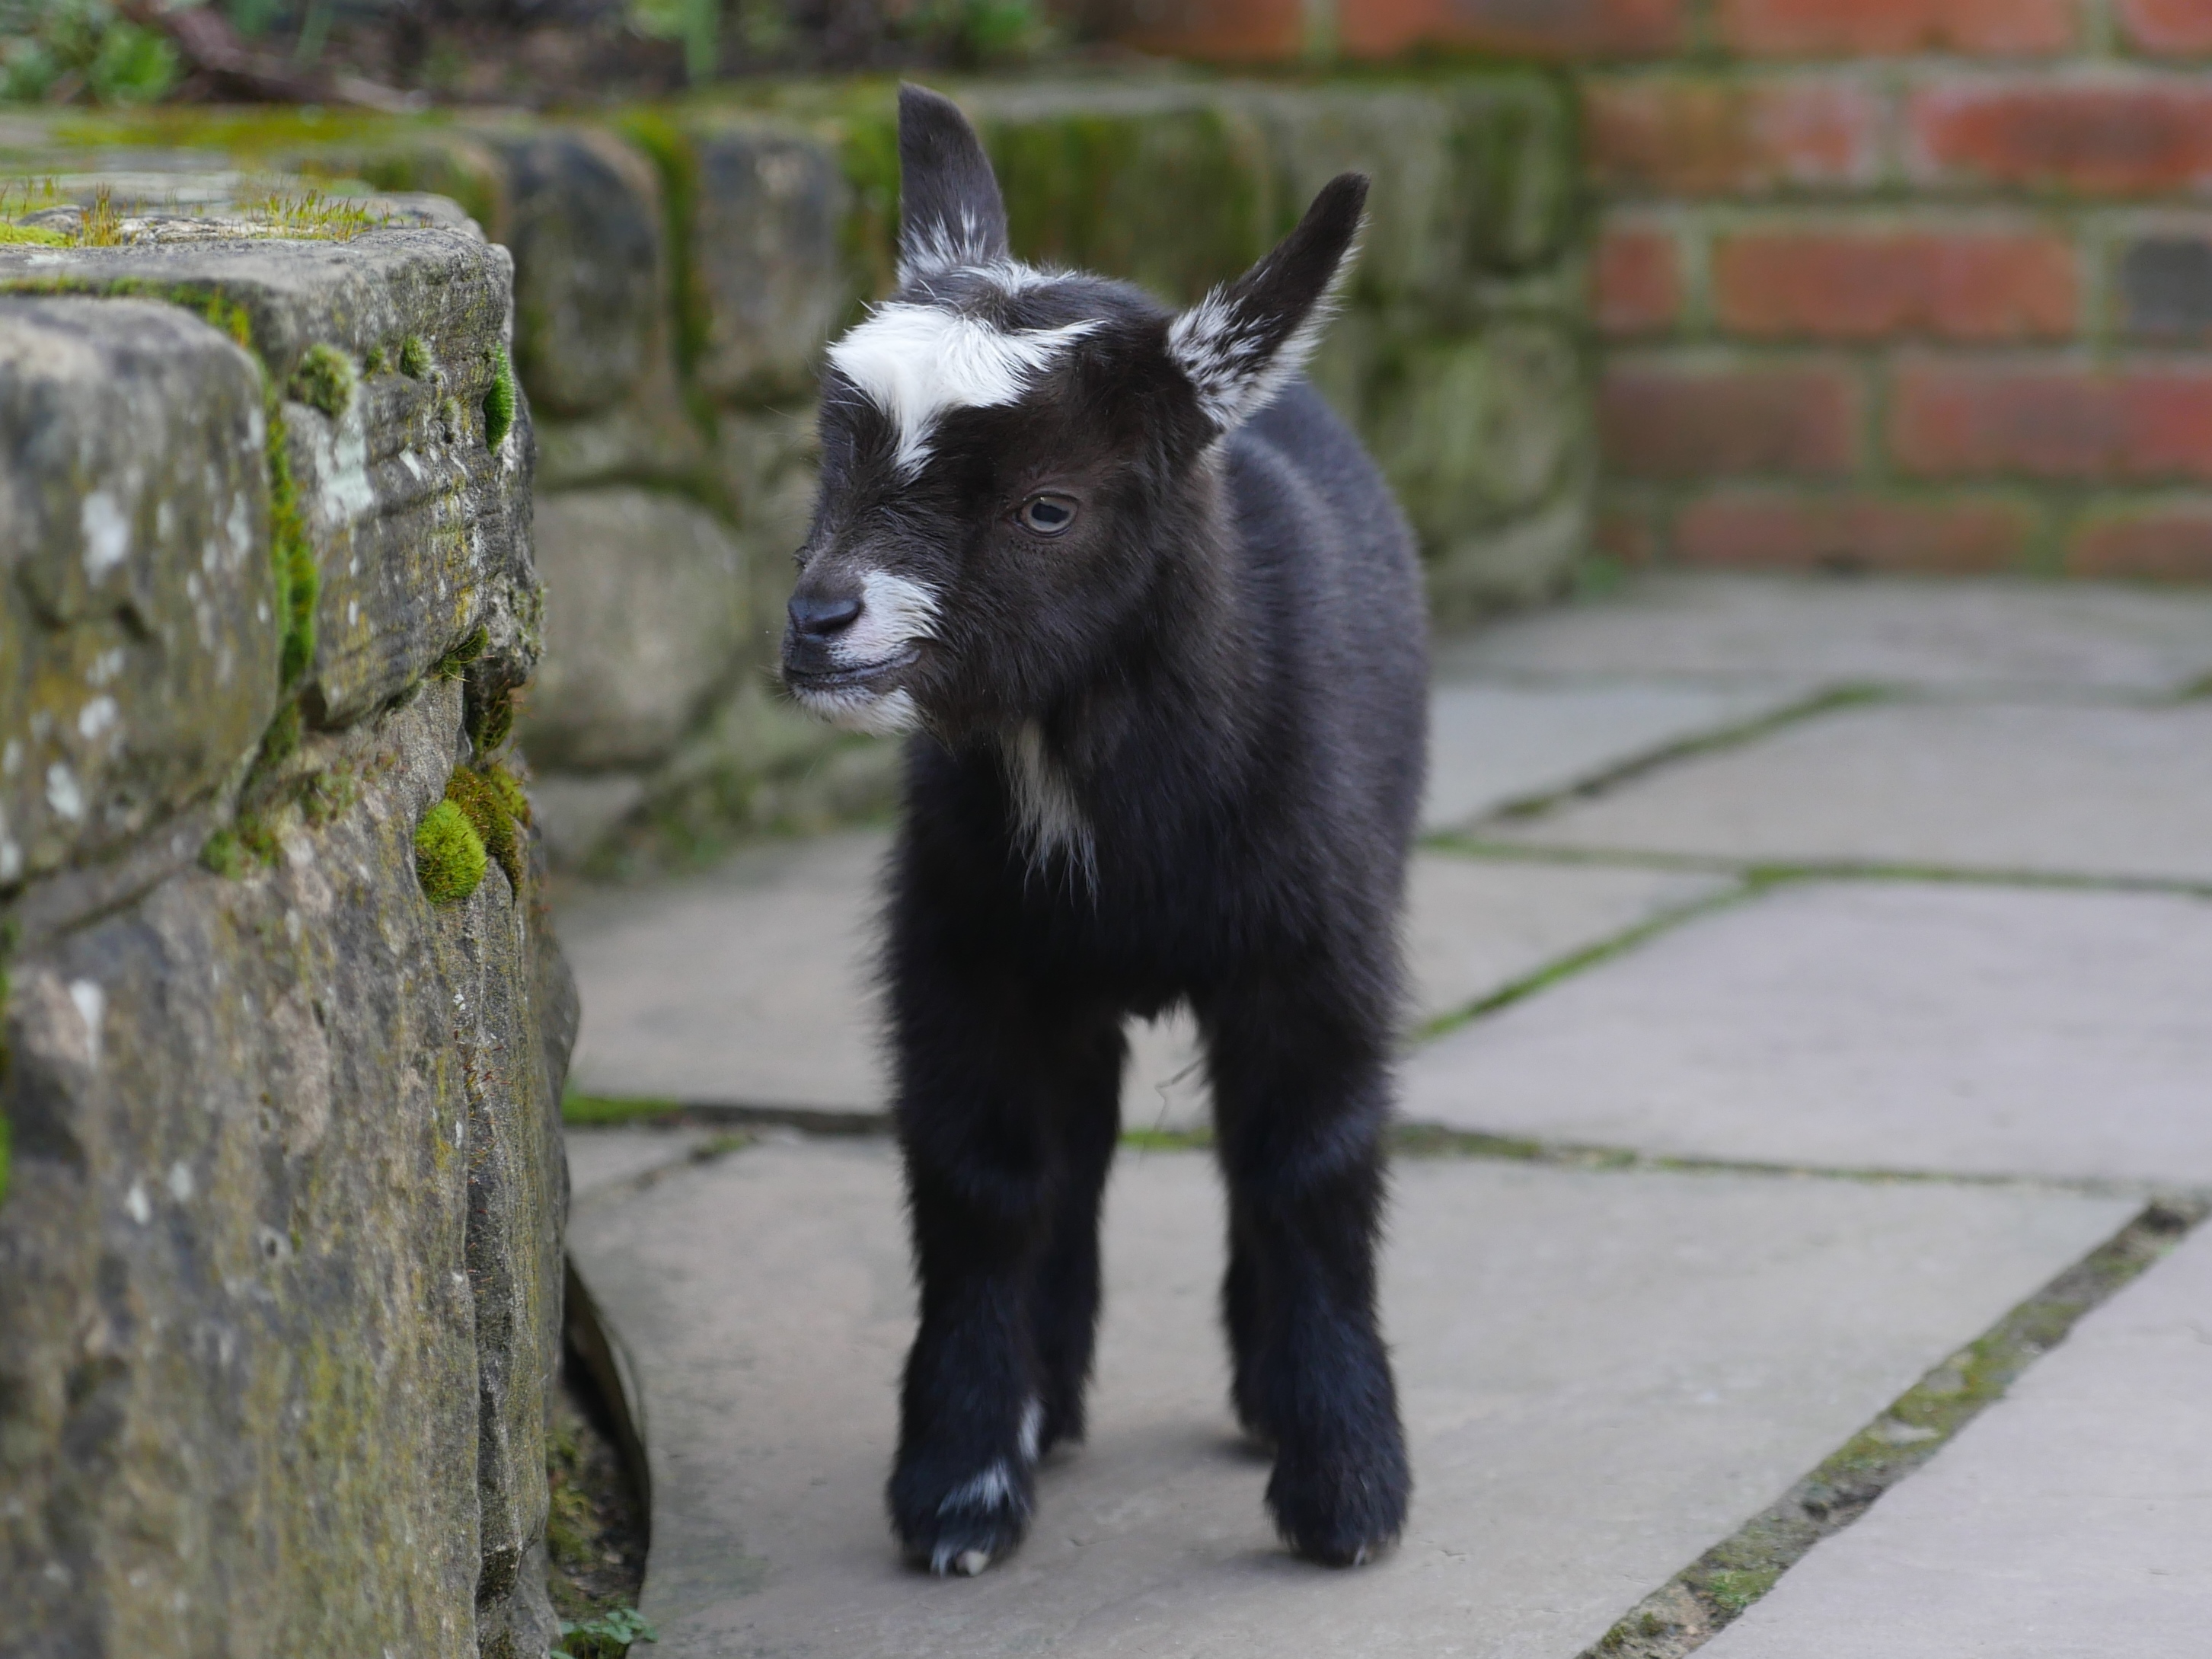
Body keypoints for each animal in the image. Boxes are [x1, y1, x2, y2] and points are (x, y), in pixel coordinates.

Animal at [781, 84, 1424, 1575]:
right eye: (834, 451)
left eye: (1048, 506)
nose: (823, 619)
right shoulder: (962, 953)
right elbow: (983, 1180)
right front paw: (960, 1483)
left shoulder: (1318, 950)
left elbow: (1306, 1166)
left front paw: (1347, 1491)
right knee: (1071, 1154)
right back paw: (1048, 1403)